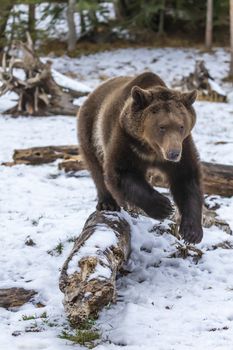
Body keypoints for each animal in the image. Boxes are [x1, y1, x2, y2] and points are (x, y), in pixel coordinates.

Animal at [77, 72, 203, 243]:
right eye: (162, 127)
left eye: (181, 126)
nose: (173, 153)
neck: (151, 149)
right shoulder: (126, 140)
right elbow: (119, 173)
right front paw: (164, 206)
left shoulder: (184, 146)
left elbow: (187, 180)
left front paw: (192, 232)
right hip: (91, 129)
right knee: (96, 167)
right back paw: (108, 203)